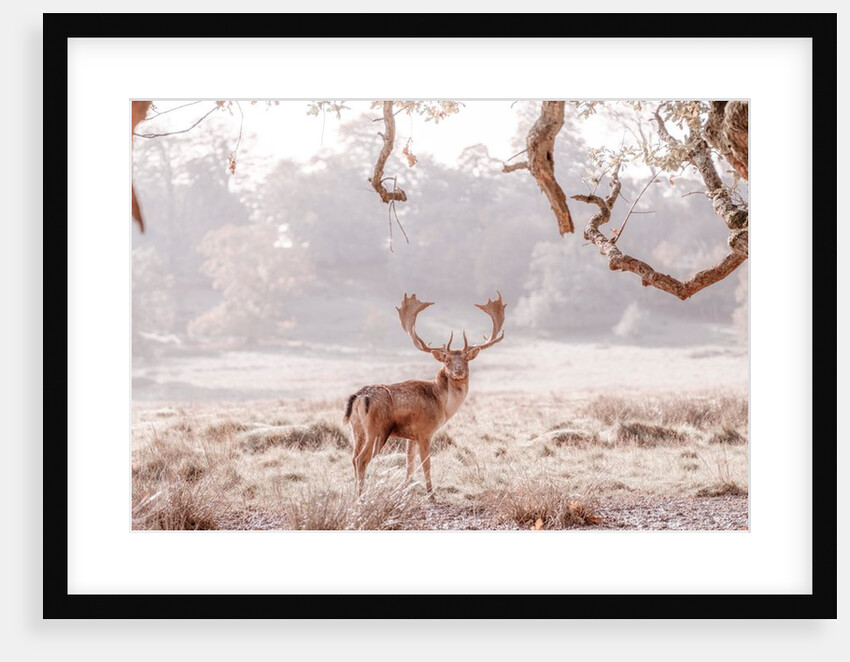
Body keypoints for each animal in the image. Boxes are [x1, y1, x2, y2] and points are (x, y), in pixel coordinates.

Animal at [343, 292, 506, 499]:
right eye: (447, 360)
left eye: (466, 359)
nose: (458, 370)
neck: (443, 405)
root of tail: (358, 398)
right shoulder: (425, 430)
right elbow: (426, 463)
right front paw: (431, 493)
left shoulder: (410, 436)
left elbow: (409, 463)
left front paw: (403, 489)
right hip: (377, 429)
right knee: (361, 459)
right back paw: (361, 496)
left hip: (356, 429)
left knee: (353, 458)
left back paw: (354, 493)